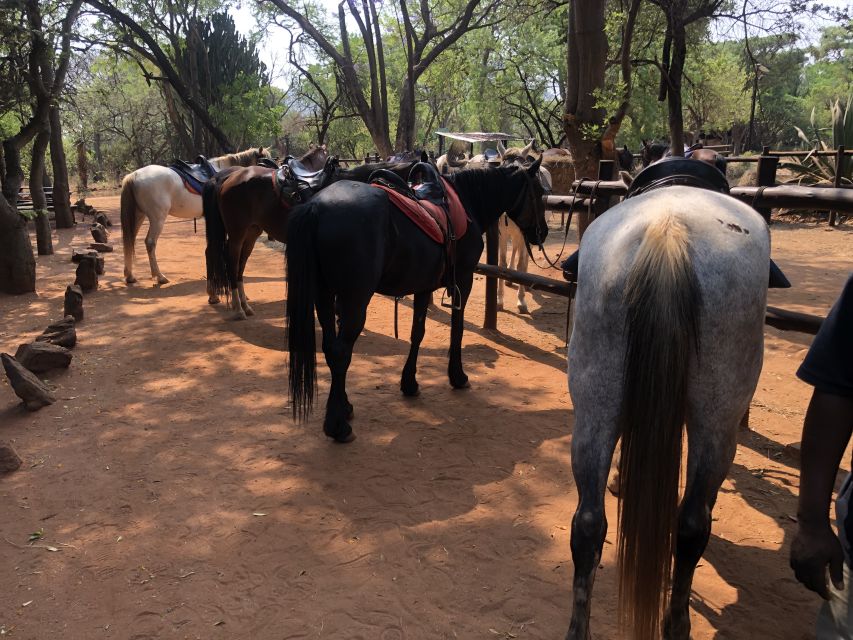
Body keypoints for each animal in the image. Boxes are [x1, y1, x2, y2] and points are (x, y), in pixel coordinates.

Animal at [120, 147, 275, 285]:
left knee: (129, 239)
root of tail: (134, 175)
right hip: (157, 218)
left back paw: (130, 276)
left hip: (139, 215)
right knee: (150, 243)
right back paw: (160, 277)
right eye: (264, 162)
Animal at [203, 159, 428, 320]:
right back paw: (236, 307)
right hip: (237, 233)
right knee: (229, 262)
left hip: (251, 232)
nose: (423, 211)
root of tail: (228, 178)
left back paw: (243, 304)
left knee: (239, 265)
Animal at [286, 159, 549, 443]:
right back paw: (338, 426)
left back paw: (344, 408)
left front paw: (409, 383)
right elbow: (457, 329)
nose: (542, 233)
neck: (467, 201)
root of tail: (316, 206)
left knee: (329, 347)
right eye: (539, 193)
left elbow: (417, 332)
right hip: (354, 300)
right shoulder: (464, 279)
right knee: (340, 351)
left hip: (324, 295)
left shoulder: (424, 287)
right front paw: (457, 376)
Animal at [565, 184, 770, 639]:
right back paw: (676, 623)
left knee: (588, 525)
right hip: (717, 421)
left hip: (594, 403)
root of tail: (669, 229)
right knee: (692, 525)